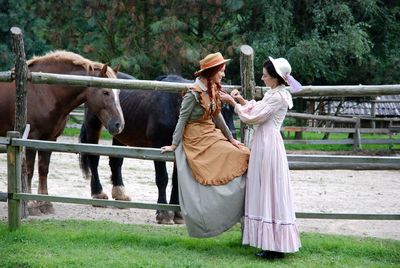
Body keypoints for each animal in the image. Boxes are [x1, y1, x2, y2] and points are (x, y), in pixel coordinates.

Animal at [0, 49, 125, 214]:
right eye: (105, 92)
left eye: (119, 92)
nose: (119, 124)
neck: (45, 91)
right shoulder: (31, 139)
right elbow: (29, 170)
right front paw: (31, 203)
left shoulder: (49, 139)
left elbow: (43, 169)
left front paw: (45, 203)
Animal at [79, 73, 236, 224]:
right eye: (217, 108)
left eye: (232, 110)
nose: (232, 134)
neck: (174, 106)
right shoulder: (157, 147)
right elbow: (162, 179)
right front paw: (164, 213)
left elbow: (176, 180)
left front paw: (177, 214)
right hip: (93, 125)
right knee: (93, 157)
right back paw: (98, 193)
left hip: (119, 133)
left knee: (115, 161)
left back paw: (120, 194)